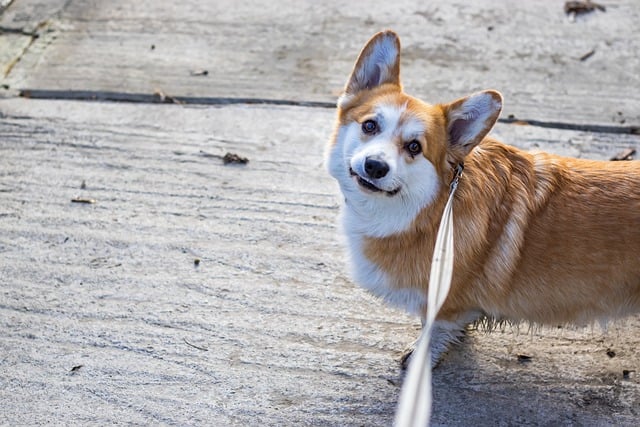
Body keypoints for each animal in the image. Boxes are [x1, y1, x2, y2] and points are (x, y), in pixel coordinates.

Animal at [324, 30, 640, 366]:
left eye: (414, 147)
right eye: (370, 125)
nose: (375, 166)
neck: (430, 210)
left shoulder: (445, 307)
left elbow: (432, 333)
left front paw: (421, 358)